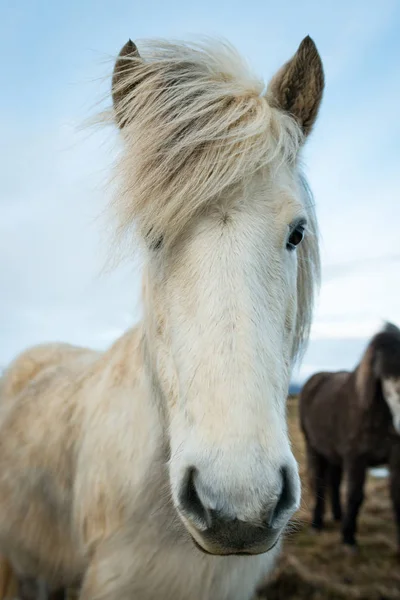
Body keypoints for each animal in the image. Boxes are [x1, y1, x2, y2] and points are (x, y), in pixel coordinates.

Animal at [298, 324, 400, 552]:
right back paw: (317, 524)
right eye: (386, 375)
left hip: (334, 454)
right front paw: (348, 538)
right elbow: (355, 495)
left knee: (334, 482)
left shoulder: (395, 459)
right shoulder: (356, 459)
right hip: (314, 449)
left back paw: (338, 516)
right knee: (319, 482)